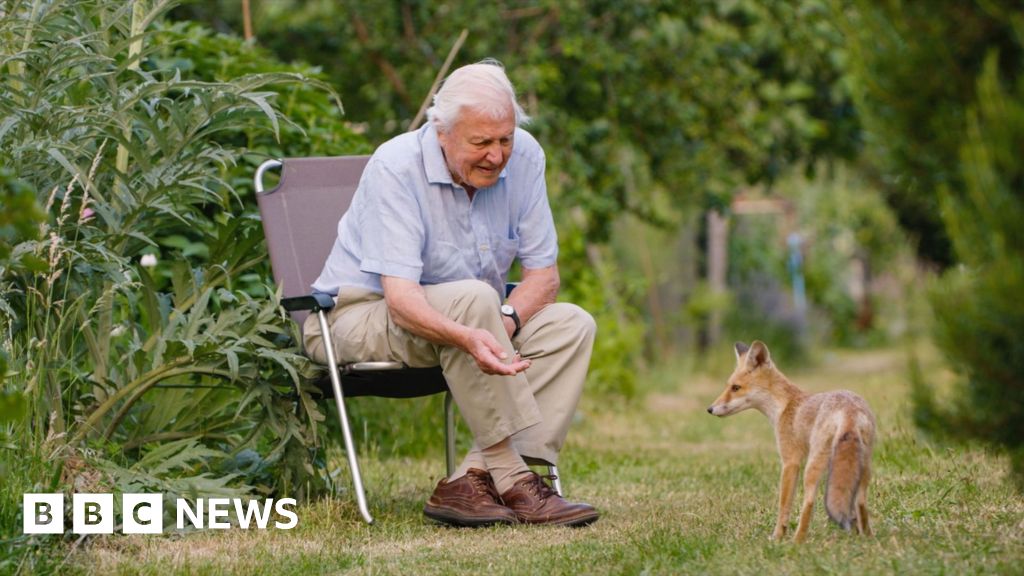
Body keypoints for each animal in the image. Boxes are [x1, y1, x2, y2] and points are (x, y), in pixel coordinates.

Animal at [707, 340, 876, 543]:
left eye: (735, 388)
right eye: (729, 386)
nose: (710, 409)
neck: (784, 406)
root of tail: (849, 410)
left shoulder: (790, 462)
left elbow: (783, 506)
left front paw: (777, 537)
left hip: (811, 468)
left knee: (809, 502)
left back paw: (797, 541)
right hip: (863, 466)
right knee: (861, 502)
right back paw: (868, 537)